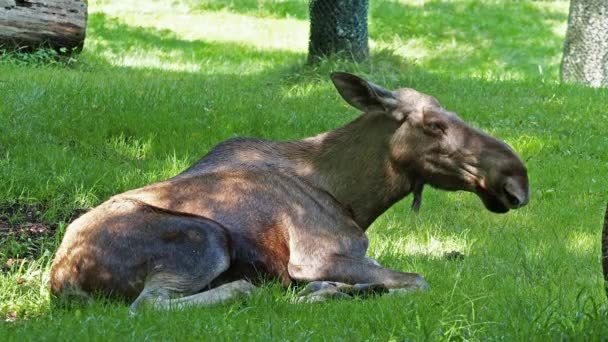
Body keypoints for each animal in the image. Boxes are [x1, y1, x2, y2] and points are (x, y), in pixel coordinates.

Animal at [50, 72, 528, 310]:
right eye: (434, 125)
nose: (517, 179)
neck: (355, 200)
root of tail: (60, 281)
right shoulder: (314, 256)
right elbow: (419, 280)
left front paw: (346, 289)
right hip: (204, 237)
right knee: (150, 304)